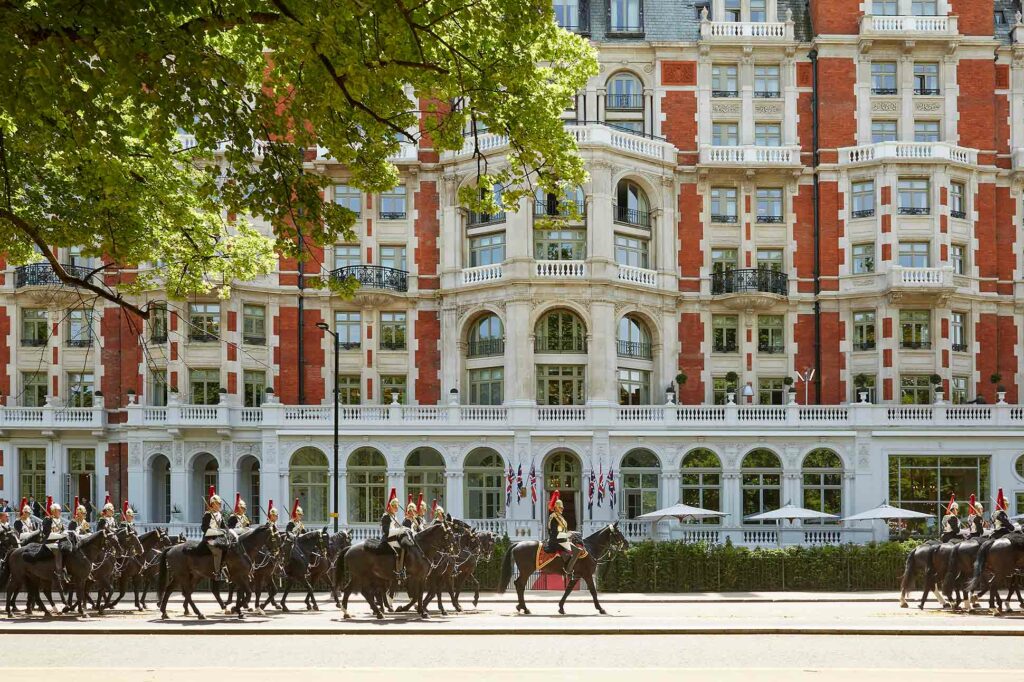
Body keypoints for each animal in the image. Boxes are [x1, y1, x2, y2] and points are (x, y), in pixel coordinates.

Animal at [497, 520, 626, 614]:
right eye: (618, 533)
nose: (627, 544)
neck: (590, 548)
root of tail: (518, 543)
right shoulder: (587, 574)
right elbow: (593, 591)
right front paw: (600, 608)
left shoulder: (576, 575)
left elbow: (568, 590)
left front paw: (561, 607)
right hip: (526, 571)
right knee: (520, 585)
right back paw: (524, 607)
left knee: (518, 584)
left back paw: (521, 606)